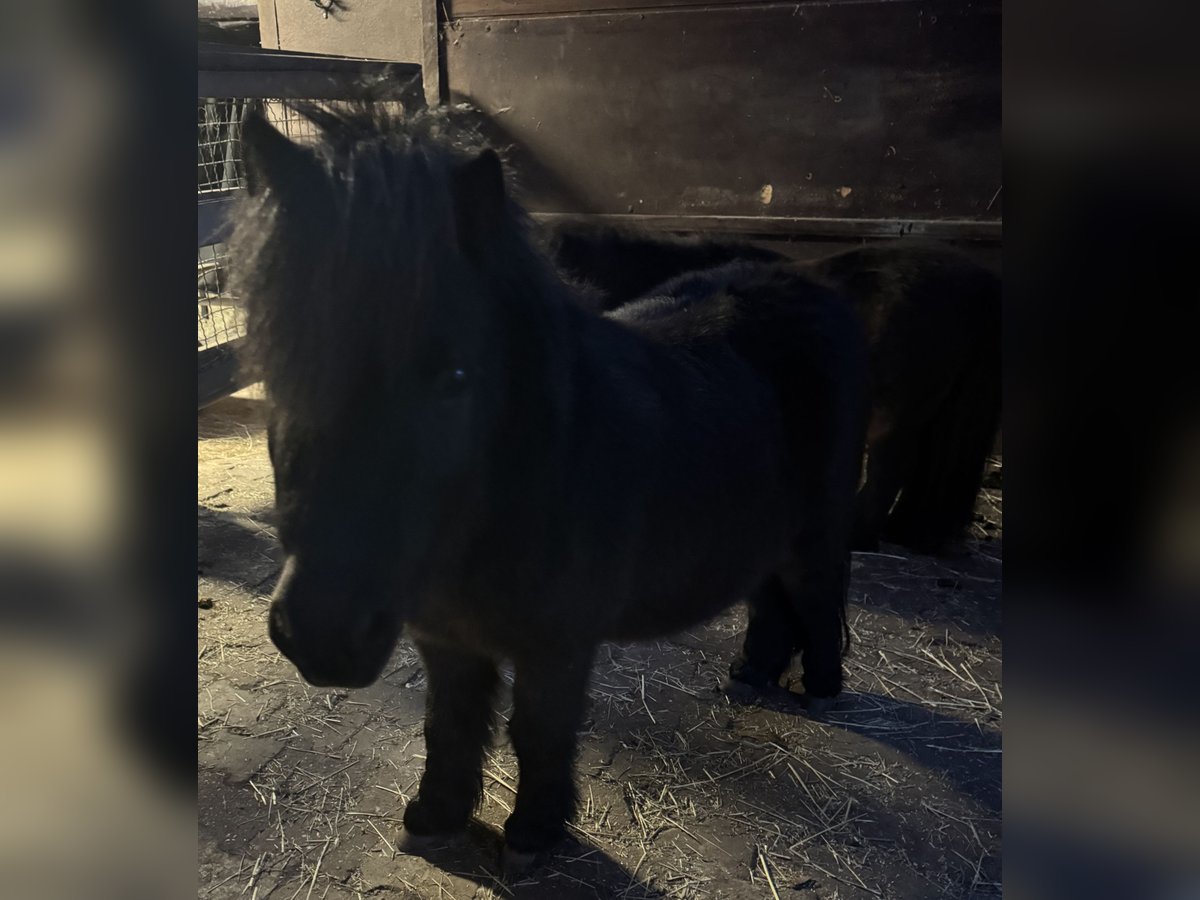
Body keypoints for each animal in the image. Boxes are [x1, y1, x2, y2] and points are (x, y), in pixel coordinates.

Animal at [232, 103, 869, 873]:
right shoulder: (445, 639)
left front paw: (534, 833)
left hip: (817, 531)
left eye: (454, 378)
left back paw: (822, 689)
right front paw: (436, 816)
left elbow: (538, 732)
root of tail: (814, 290)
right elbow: (449, 725)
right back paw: (753, 672)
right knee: (771, 599)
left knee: (818, 594)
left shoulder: (556, 648)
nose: (322, 638)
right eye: (278, 368)